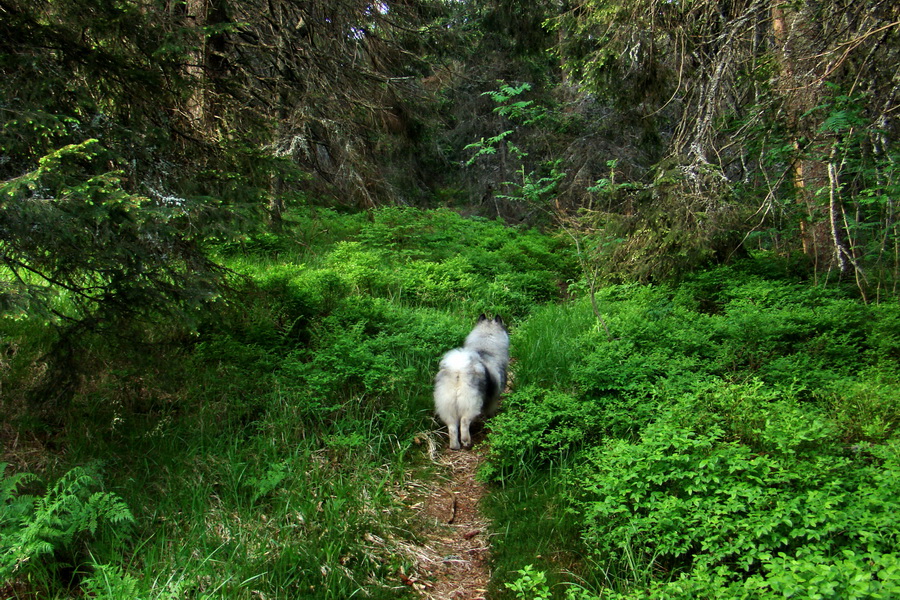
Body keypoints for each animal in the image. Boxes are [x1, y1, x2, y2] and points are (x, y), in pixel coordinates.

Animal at [434, 316, 510, 448]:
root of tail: (458, 370)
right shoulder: (493, 398)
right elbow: (490, 410)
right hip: (471, 403)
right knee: (464, 422)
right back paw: (466, 441)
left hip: (447, 405)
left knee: (452, 427)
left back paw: (455, 446)